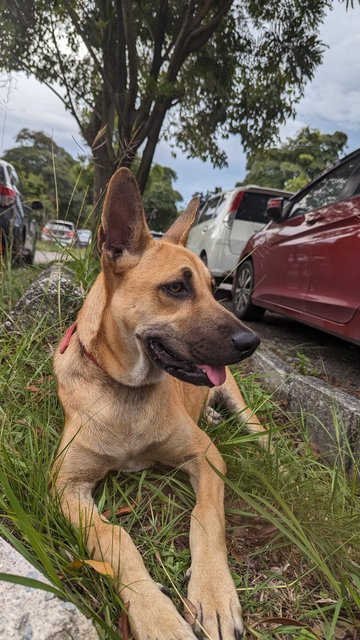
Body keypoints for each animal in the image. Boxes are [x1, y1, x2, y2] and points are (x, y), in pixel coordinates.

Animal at [52, 170, 268, 640]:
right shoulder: (65, 486)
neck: (126, 391)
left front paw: (213, 593)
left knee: (255, 427)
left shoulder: (206, 456)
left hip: (240, 405)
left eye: (214, 289)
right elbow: (115, 540)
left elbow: (207, 518)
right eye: (176, 288)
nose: (252, 342)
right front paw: (158, 617)